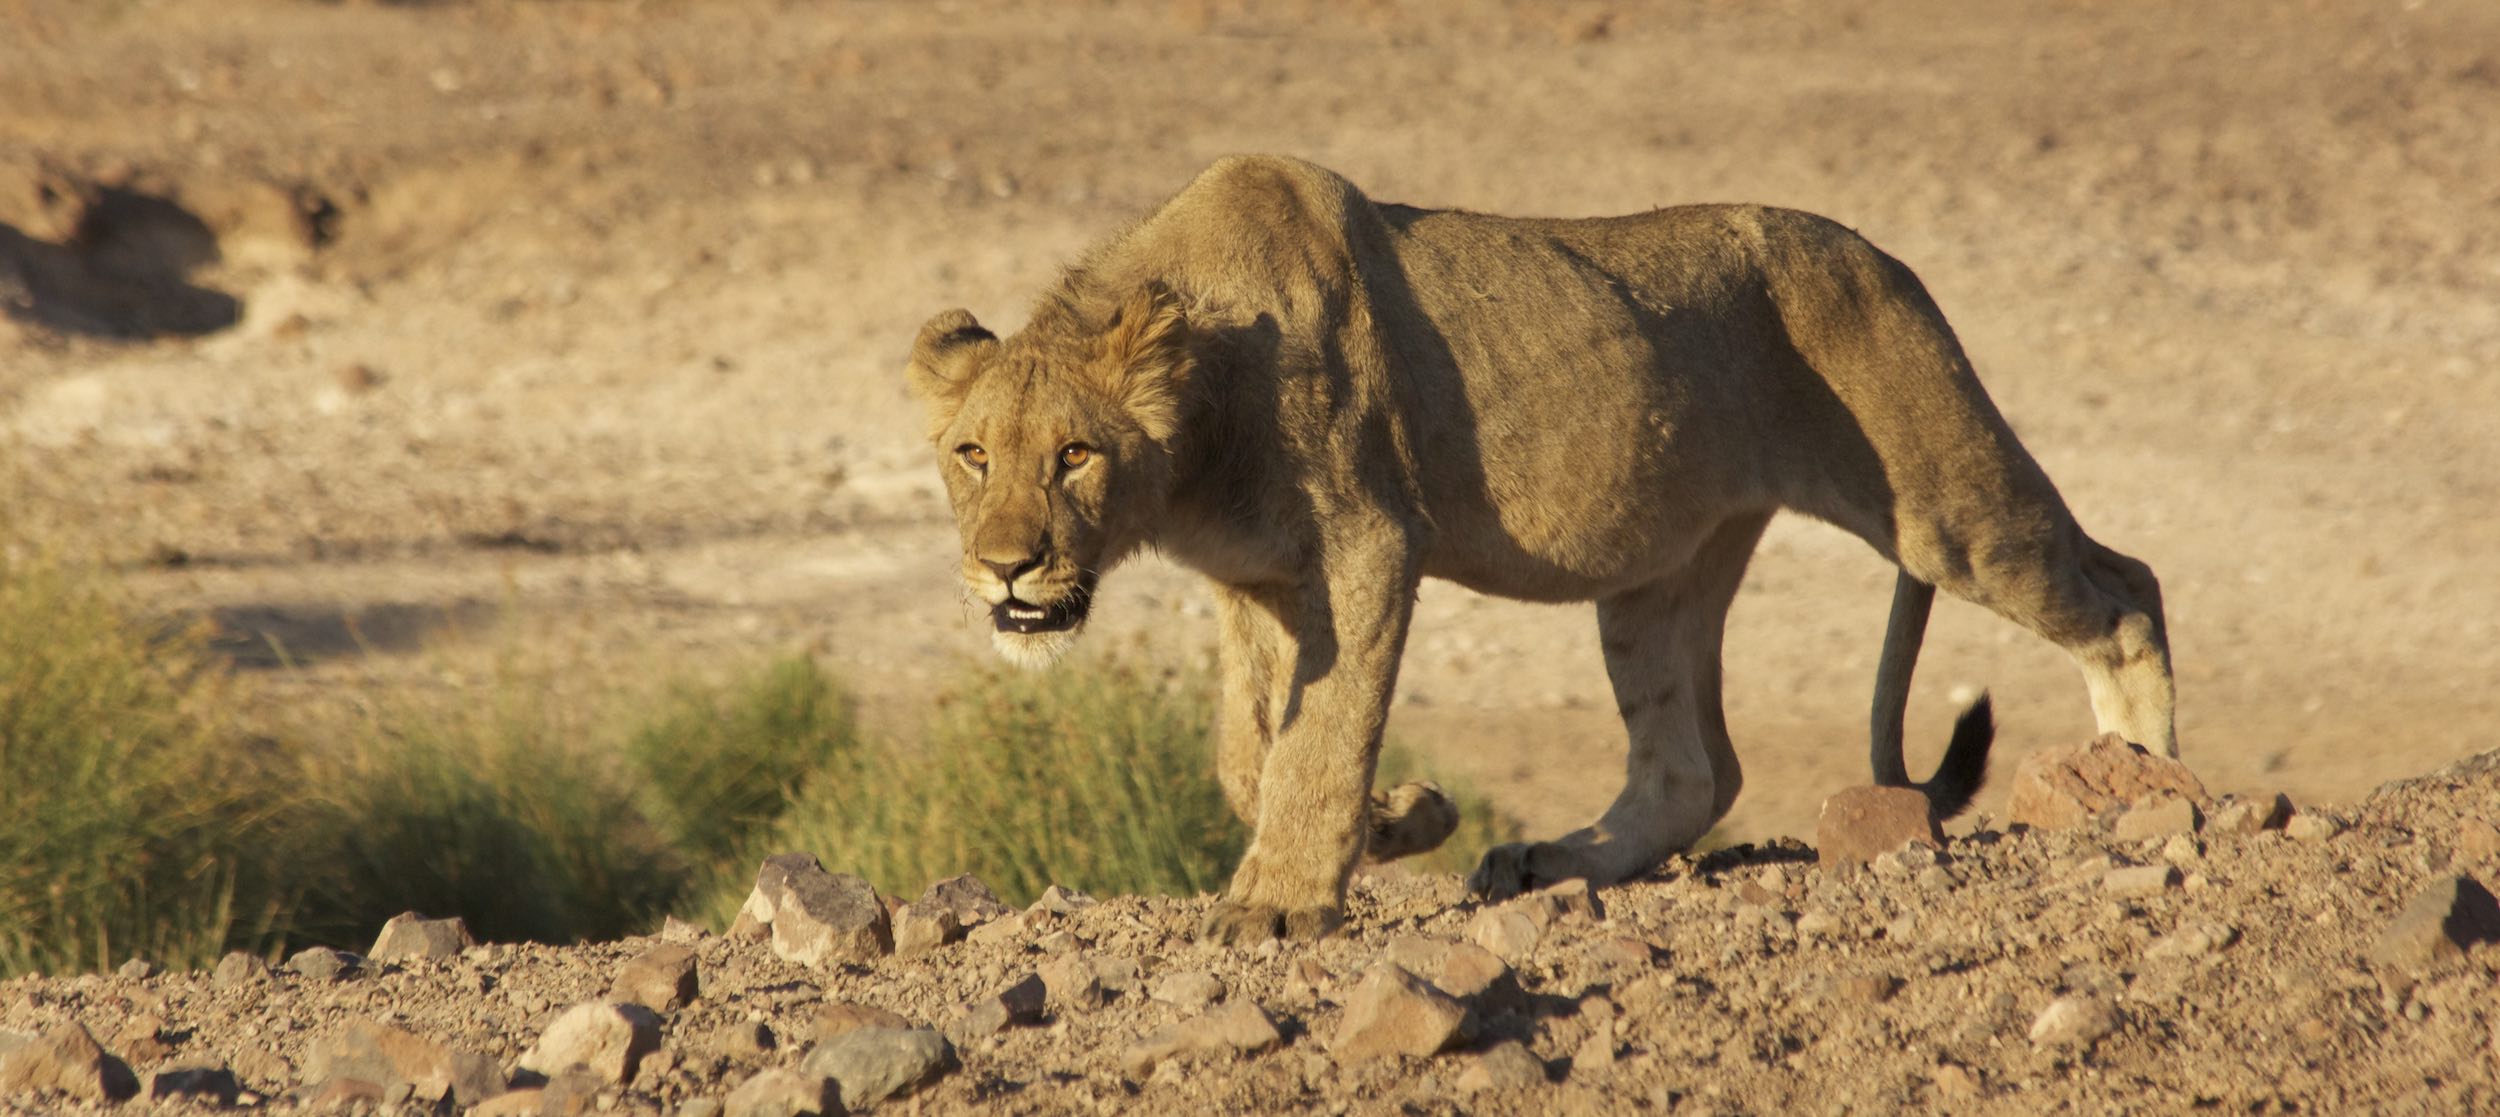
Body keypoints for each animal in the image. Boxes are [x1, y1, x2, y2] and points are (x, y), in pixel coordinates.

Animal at [905, 155, 2176, 943]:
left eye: (1074, 454)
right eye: (972, 455)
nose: (1007, 565)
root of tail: (1883, 253)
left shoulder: (1366, 546)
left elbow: (1319, 738)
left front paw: (1283, 903)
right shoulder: (1255, 580)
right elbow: (1248, 754)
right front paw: (1402, 819)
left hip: (1941, 498)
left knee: (2123, 589)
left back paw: (2144, 783)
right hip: (1660, 574)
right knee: (1690, 769)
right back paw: (1550, 862)